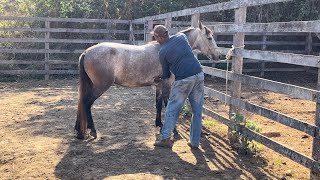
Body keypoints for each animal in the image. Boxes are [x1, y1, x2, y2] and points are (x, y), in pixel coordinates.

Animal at [75, 22, 220, 139]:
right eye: (209, 38)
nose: (217, 56)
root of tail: (87, 52)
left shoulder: (159, 85)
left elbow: (158, 104)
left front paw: (159, 124)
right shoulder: (166, 85)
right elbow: (167, 105)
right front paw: (172, 129)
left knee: (82, 102)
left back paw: (78, 129)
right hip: (100, 87)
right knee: (87, 103)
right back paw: (92, 130)